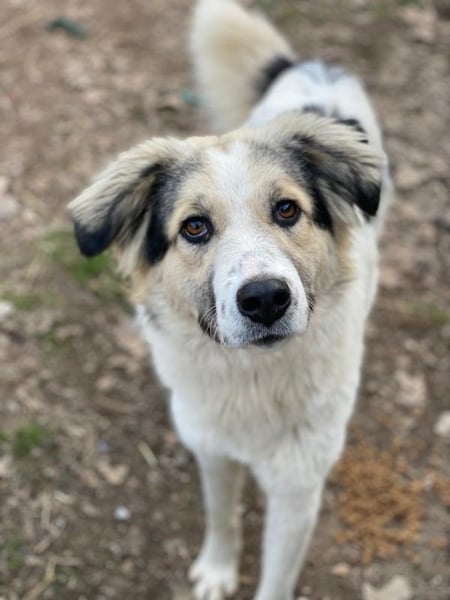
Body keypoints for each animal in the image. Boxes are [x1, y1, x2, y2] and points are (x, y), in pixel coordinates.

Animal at [69, 1, 391, 598]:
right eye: (194, 227)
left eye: (287, 210)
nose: (265, 299)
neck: (251, 379)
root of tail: (311, 65)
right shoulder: (211, 449)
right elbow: (221, 516)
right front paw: (218, 571)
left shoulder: (297, 487)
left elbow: (276, 575)